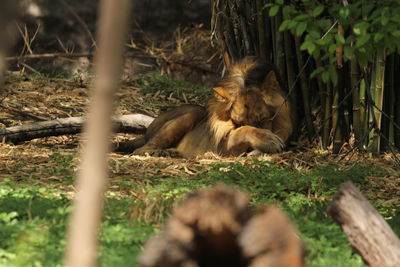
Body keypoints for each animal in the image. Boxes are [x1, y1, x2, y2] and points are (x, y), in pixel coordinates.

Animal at [133, 56, 292, 157]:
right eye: (237, 122)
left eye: (262, 120)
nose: (248, 150)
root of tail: (147, 132)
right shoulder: (223, 146)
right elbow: (243, 131)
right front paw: (269, 141)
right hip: (192, 114)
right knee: (139, 150)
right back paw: (162, 152)